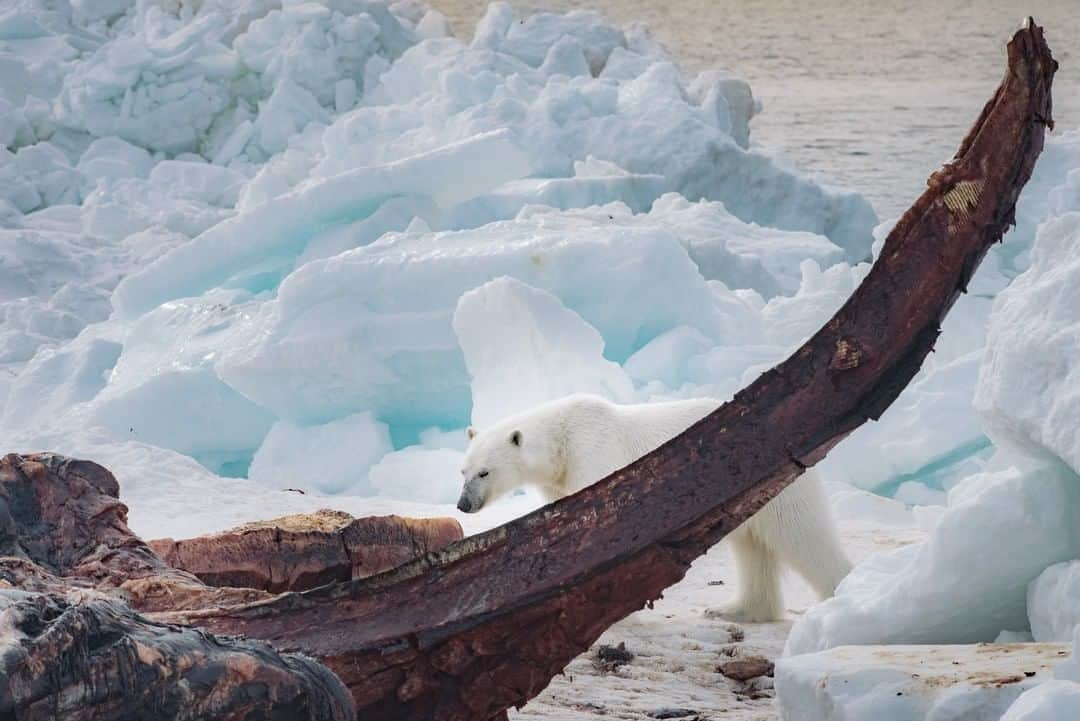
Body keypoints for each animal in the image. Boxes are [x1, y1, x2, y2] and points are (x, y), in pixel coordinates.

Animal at [455, 390, 851, 621]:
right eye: (463, 470)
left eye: (484, 472)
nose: (463, 504)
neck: (564, 440)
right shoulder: (559, 481)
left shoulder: (596, 455)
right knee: (752, 547)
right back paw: (733, 609)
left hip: (773, 478)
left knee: (802, 535)